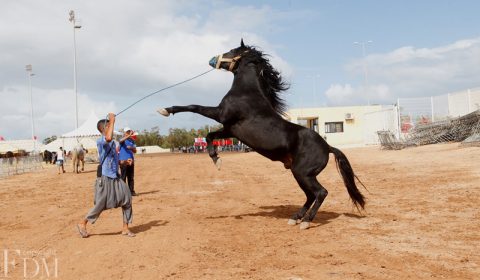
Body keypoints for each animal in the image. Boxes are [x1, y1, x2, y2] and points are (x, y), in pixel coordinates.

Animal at [158, 40, 364, 230]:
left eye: (232, 50)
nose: (212, 59)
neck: (247, 93)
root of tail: (328, 147)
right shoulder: (229, 129)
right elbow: (210, 136)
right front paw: (217, 160)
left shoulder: (220, 114)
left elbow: (194, 107)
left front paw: (165, 110)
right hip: (300, 174)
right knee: (310, 195)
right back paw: (295, 218)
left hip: (303, 173)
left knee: (320, 193)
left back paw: (305, 222)